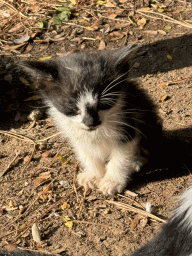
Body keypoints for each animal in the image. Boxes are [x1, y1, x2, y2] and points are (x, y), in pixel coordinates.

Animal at [21, 44, 162, 196]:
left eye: (103, 104)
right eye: (72, 107)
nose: (90, 122)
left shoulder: (128, 122)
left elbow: (121, 155)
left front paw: (112, 181)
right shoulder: (77, 134)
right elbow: (88, 154)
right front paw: (93, 176)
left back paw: (136, 162)